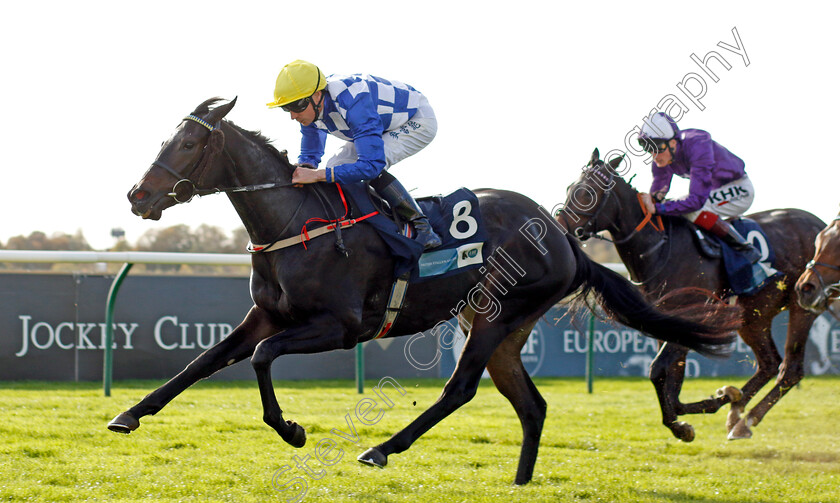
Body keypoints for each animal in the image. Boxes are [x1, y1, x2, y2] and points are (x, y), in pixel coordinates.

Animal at [110, 100, 736, 486]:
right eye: (169, 136)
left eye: (188, 143)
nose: (137, 195)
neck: (296, 222)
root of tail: (563, 236)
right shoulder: (266, 315)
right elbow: (202, 361)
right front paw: (129, 415)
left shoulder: (341, 327)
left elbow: (262, 359)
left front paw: (291, 431)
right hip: (504, 328)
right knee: (531, 404)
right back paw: (519, 481)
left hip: (494, 315)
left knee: (461, 389)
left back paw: (381, 448)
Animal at [556, 149, 824, 440]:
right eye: (569, 188)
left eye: (586, 193)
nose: (560, 227)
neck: (660, 249)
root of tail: (820, 224)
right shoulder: (666, 320)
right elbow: (670, 376)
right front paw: (683, 415)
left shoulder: (694, 313)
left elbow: (659, 370)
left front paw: (680, 425)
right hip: (755, 316)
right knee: (769, 363)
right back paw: (734, 407)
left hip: (802, 305)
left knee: (790, 370)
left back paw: (743, 418)